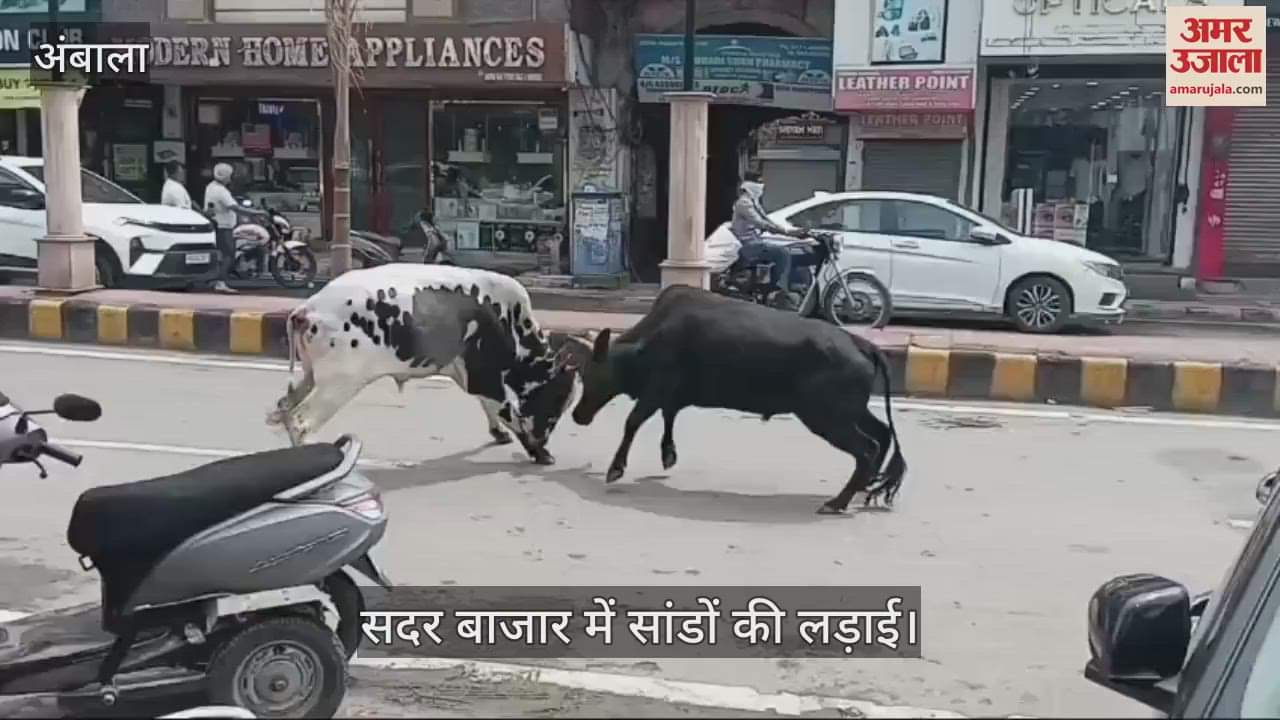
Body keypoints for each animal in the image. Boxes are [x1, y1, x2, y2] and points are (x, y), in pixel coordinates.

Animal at [267, 264, 581, 465]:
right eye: (558, 397)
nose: (544, 437)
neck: (508, 319)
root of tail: (306, 310)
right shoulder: (486, 377)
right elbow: (508, 412)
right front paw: (539, 453)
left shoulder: (471, 376)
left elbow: (490, 408)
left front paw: (500, 434)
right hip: (339, 385)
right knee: (300, 421)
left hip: (311, 377)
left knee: (284, 407)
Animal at [566, 285, 906, 513]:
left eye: (590, 374)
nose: (578, 415)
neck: (646, 342)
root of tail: (862, 343)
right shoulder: (670, 394)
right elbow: (668, 417)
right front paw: (668, 454)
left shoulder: (657, 388)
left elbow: (633, 421)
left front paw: (616, 468)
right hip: (851, 412)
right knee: (882, 434)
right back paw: (862, 490)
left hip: (827, 417)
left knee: (868, 448)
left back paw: (837, 502)